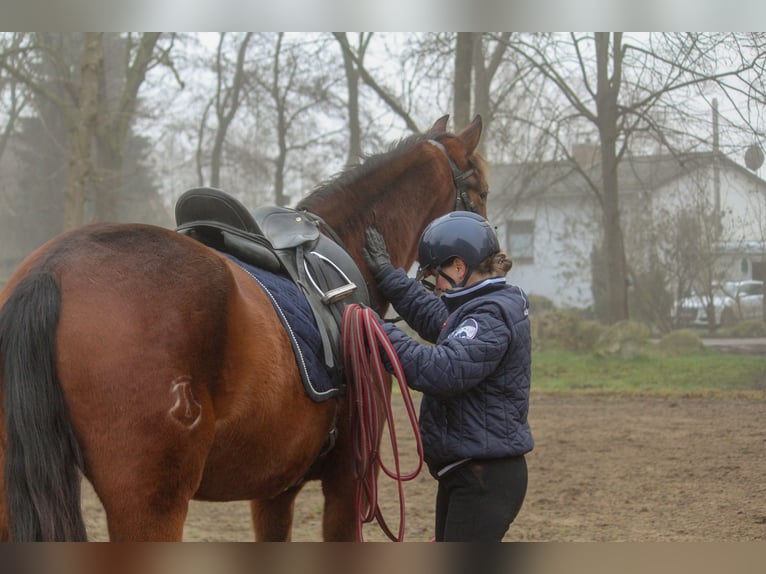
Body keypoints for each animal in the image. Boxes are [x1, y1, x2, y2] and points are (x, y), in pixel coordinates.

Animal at [0, 115, 488, 544]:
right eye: (480, 190)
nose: (496, 256)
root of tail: (51, 269)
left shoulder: (273, 491)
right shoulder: (347, 482)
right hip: (150, 504)